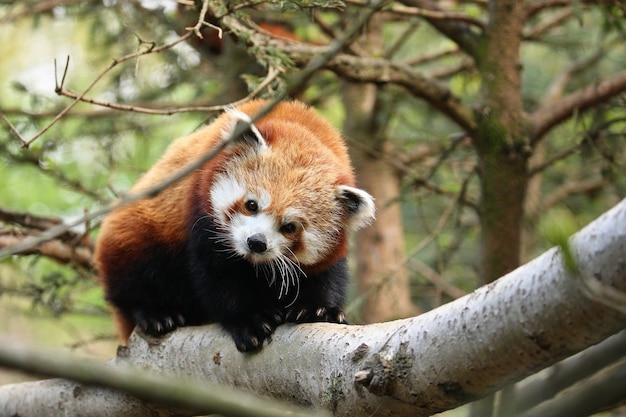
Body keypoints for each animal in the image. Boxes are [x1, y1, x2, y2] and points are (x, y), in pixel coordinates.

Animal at [94, 100, 376, 352]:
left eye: (290, 227)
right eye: (251, 205)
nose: (256, 242)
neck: (299, 125)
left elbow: (326, 274)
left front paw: (318, 309)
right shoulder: (201, 208)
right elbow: (218, 277)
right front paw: (251, 321)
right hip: (136, 235)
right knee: (135, 278)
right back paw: (156, 313)